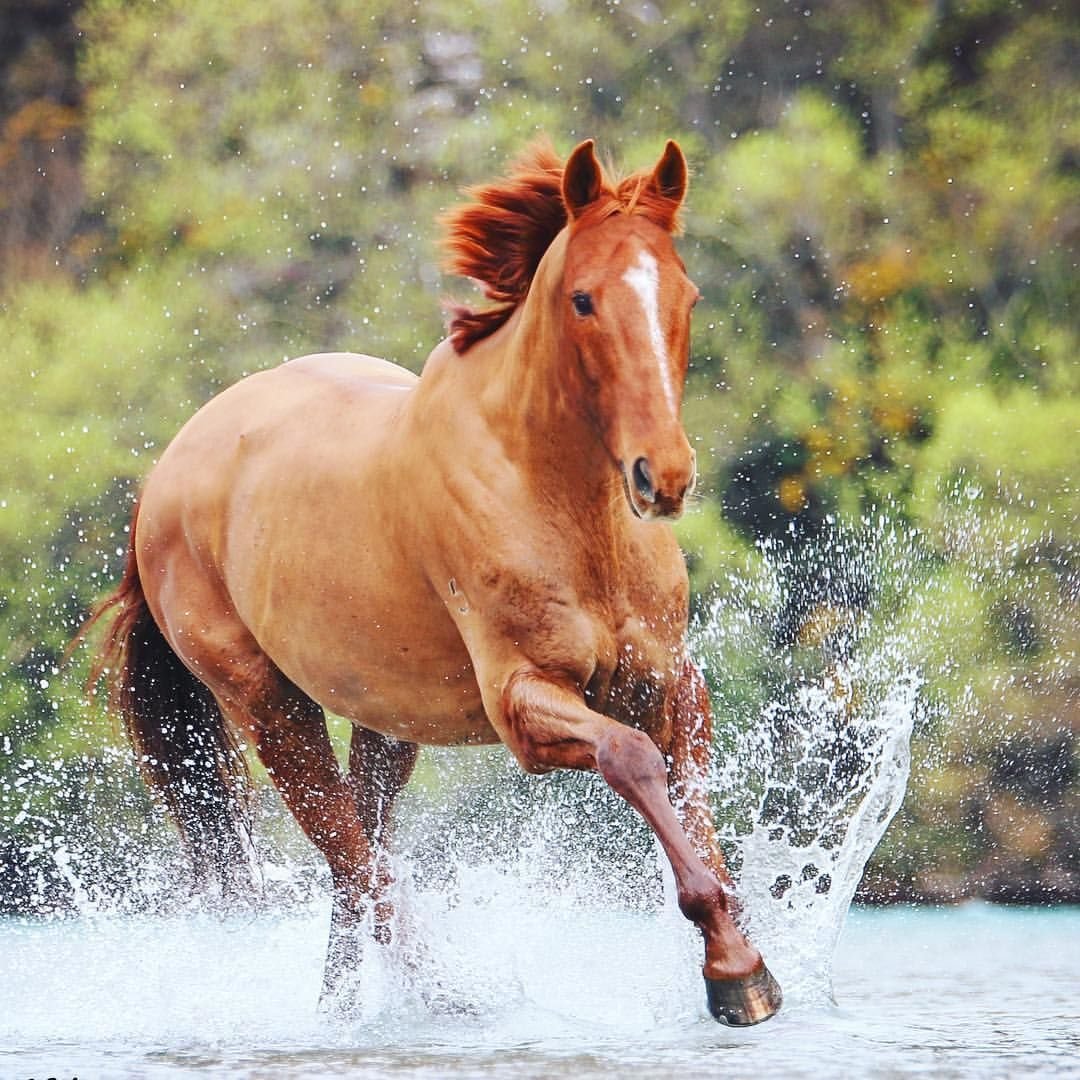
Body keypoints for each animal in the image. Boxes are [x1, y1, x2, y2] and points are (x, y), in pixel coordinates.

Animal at [82, 138, 782, 1025]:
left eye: (685, 291)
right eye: (584, 300)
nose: (665, 476)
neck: (564, 510)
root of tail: (163, 479)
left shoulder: (669, 681)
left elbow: (689, 793)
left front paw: (744, 949)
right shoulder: (524, 700)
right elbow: (631, 759)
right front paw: (734, 972)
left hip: (387, 721)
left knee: (359, 858)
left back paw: (354, 1011)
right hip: (268, 706)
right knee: (354, 861)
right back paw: (450, 1002)